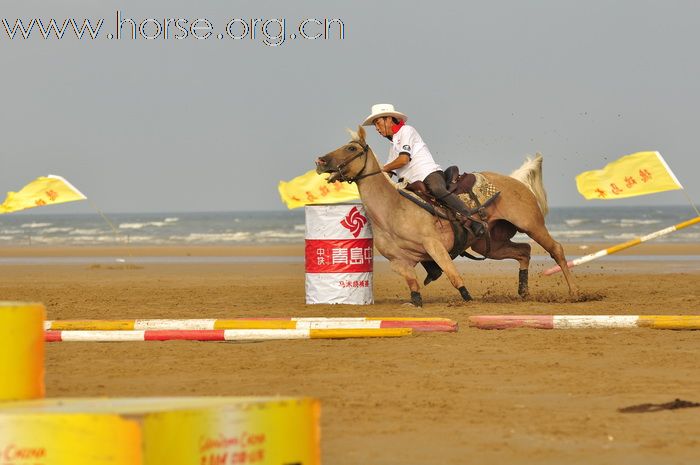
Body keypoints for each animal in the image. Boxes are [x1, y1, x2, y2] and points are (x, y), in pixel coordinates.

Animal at [314, 125, 576, 306]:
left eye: (351, 148)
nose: (320, 161)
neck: (392, 210)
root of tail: (516, 180)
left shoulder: (435, 246)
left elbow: (452, 274)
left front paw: (467, 298)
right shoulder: (399, 261)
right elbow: (414, 285)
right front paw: (414, 301)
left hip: (532, 225)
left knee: (556, 250)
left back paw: (574, 292)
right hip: (490, 244)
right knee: (524, 251)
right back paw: (523, 291)